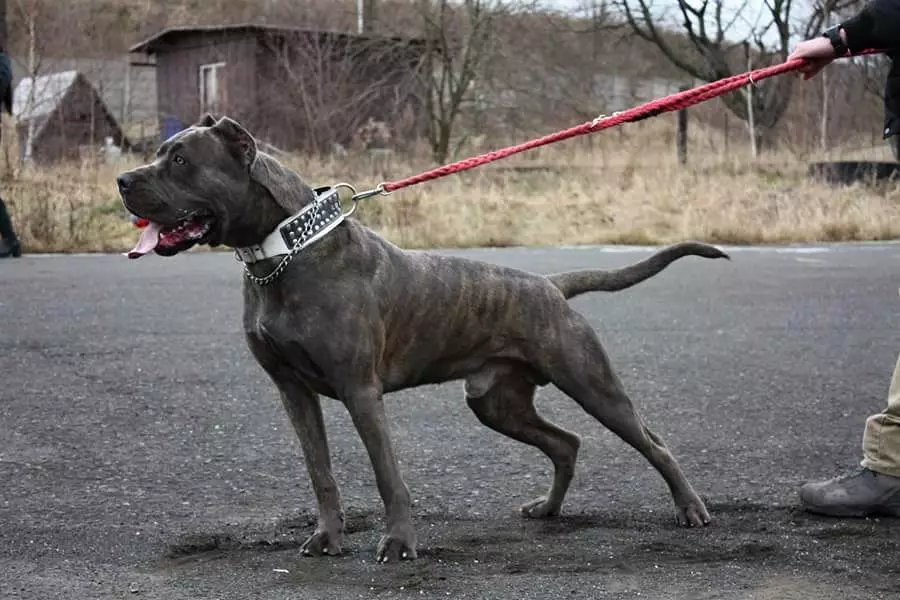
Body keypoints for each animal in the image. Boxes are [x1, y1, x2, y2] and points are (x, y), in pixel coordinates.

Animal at [116, 115, 728, 564]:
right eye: (160, 153)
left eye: (181, 160)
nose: (122, 180)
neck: (285, 251)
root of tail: (550, 285)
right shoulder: (293, 392)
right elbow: (321, 472)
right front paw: (328, 539)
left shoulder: (360, 391)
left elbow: (388, 475)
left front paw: (400, 544)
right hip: (497, 402)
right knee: (565, 443)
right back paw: (548, 509)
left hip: (591, 382)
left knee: (652, 442)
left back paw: (692, 509)